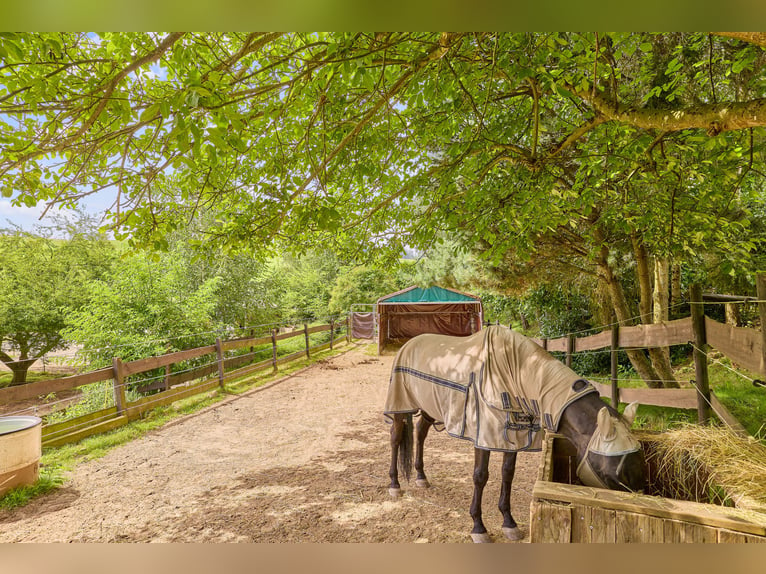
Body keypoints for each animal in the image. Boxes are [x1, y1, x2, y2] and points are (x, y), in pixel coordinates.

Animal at [384, 328, 648, 544]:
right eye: (611, 475)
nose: (634, 507)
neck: (516, 376)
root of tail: (408, 344)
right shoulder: (484, 437)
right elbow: (480, 476)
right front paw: (478, 527)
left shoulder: (513, 438)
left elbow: (507, 475)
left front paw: (509, 523)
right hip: (400, 407)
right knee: (396, 438)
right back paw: (395, 485)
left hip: (429, 408)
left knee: (420, 433)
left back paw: (421, 477)